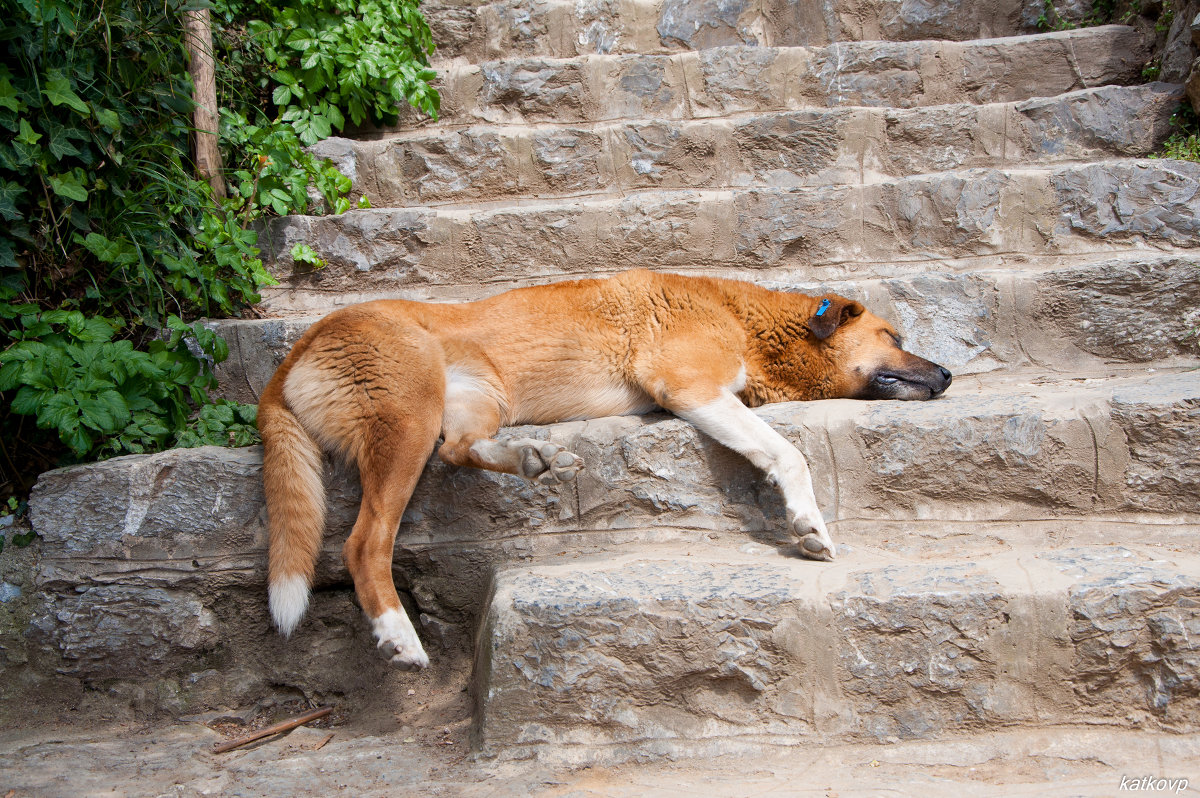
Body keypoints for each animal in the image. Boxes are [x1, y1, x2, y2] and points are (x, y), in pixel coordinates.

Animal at [258, 268, 950, 667]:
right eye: (892, 336)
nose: (947, 374)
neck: (748, 321)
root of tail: (292, 355)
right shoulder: (689, 387)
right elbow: (787, 452)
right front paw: (808, 524)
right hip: (407, 420)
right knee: (364, 544)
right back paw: (399, 636)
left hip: (479, 401)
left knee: (460, 449)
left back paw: (531, 457)